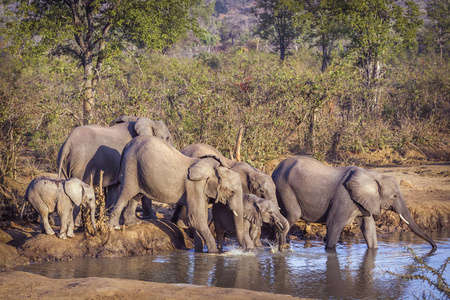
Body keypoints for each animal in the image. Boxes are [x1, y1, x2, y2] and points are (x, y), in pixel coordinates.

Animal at [107, 136, 251, 253]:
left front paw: (198, 252)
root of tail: (128, 143)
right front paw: (214, 253)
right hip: (131, 166)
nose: (243, 250)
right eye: (231, 191)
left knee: (137, 194)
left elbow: (200, 219)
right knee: (126, 193)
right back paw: (114, 226)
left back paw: (133, 222)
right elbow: (196, 218)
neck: (214, 168)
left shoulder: (201, 190)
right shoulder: (195, 186)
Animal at [270, 156, 436, 250]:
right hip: (285, 188)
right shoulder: (343, 197)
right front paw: (330, 250)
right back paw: (281, 246)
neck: (372, 174)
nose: (435, 247)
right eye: (394, 196)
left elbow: (369, 228)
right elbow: (334, 224)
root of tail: (275, 169)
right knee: (292, 216)